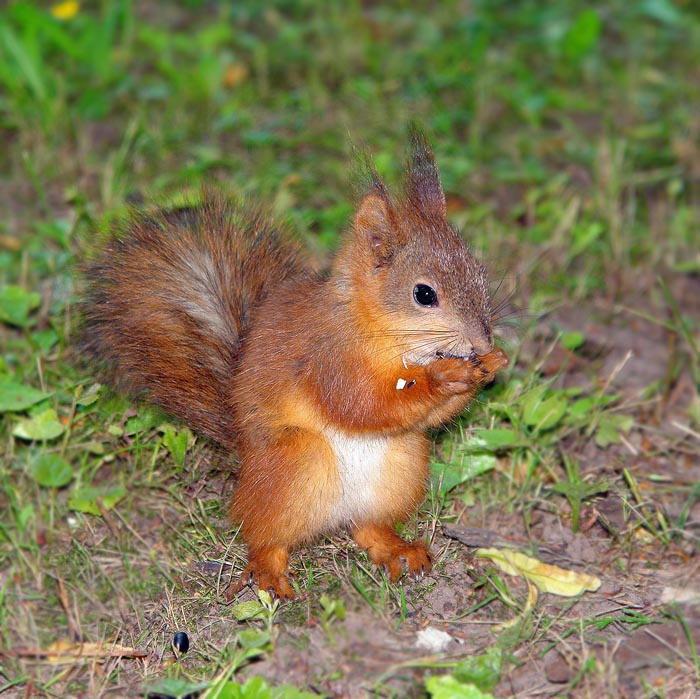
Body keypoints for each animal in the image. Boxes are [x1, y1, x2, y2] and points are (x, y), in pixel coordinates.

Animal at [82, 129, 508, 600]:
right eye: (424, 294)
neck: (377, 330)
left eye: (479, 272)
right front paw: (445, 376)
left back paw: (396, 548)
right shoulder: (326, 358)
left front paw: (491, 364)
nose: (482, 341)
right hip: (296, 462)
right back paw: (269, 570)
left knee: (367, 527)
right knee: (264, 535)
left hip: (403, 465)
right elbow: (361, 404)